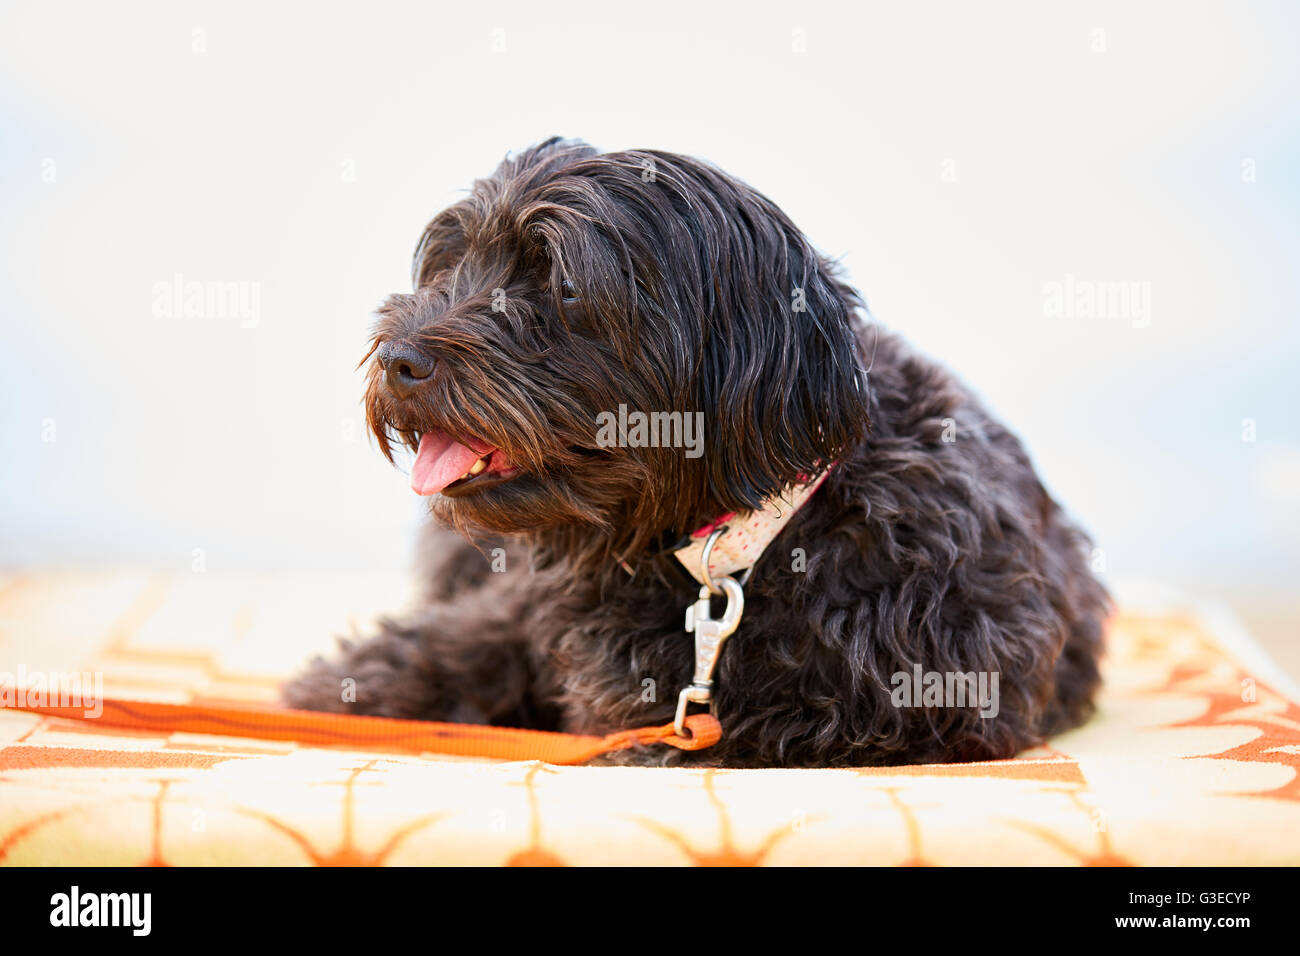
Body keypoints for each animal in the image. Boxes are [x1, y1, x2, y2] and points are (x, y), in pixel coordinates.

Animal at [284, 138, 1107, 770]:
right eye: (450, 266)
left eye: (567, 287)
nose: (399, 357)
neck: (744, 542)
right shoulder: (528, 598)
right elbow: (479, 637)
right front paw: (356, 687)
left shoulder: (916, 701)